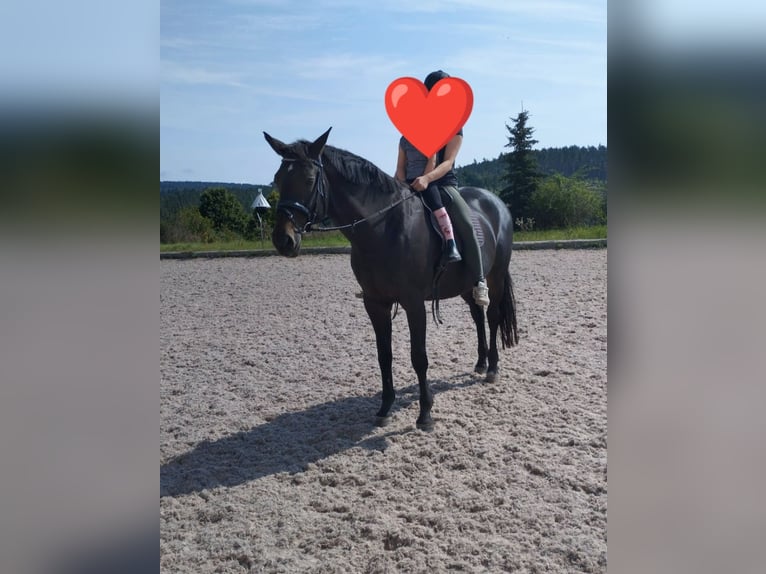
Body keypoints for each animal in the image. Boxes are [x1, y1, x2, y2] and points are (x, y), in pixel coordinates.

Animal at [264, 127, 518, 430]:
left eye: (309, 179)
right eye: (278, 179)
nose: (283, 240)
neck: (383, 226)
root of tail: (497, 203)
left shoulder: (414, 303)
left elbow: (419, 357)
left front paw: (425, 414)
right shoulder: (375, 303)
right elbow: (383, 355)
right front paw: (385, 408)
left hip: (496, 276)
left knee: (492, 317)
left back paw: (492, 367)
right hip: (467, 283)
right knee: (478, 316)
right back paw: (480, 362)